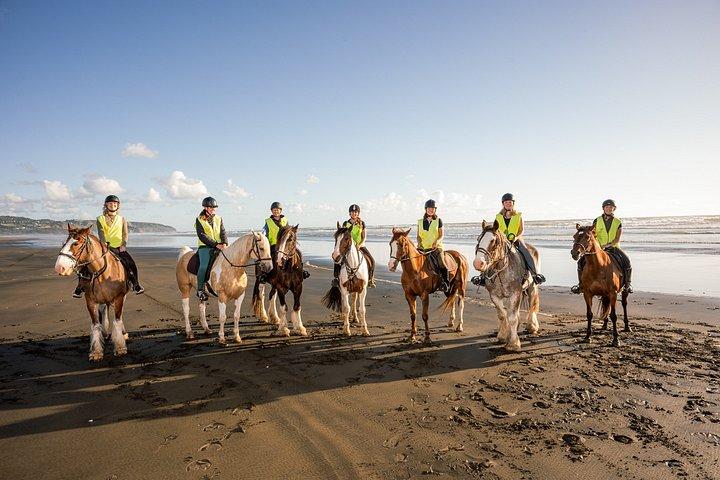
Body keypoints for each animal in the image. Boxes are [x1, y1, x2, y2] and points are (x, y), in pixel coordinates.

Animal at [54, 224, 130, 361]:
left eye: (76, 243)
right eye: (63, 243)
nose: (59, 268)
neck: (101, 272)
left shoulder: (119, 298)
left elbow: (117, 320)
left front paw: (120, 348)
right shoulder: (90, 301)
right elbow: (95, 324)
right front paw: (96, 352)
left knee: (118, 316)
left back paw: (122, 333)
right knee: (104, 311)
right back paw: (105, 333)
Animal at [473, 220, 541, 351]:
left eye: (493, 241)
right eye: (479, 239)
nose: (478, 263)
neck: (501, 269)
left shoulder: (515, 294)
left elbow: (512, 318)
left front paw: (513, 344)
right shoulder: (494, 296)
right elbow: (502, 315)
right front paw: (503, 336)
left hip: (531, 287)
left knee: (532, 305)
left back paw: (532, 326)